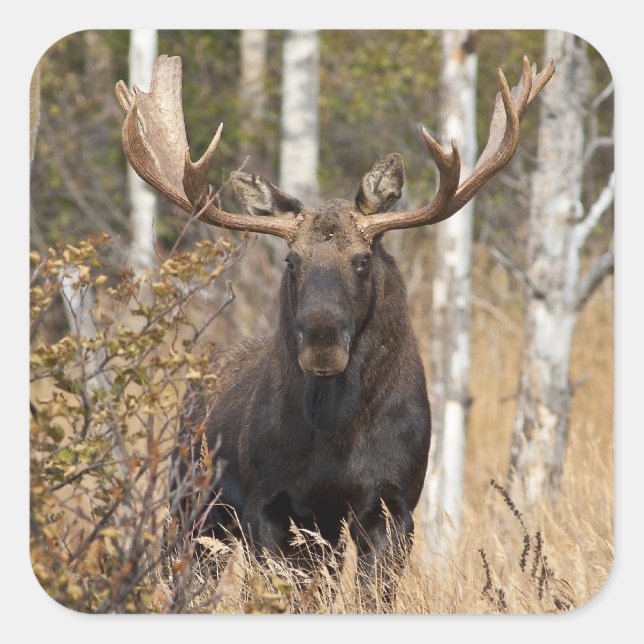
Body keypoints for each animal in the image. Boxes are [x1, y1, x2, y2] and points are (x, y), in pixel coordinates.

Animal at [115, 54, 554, 604]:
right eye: (292, 261)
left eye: (362, 260)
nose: (322, 343)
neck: (336, 439)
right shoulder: (270, 505)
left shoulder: (393, 503)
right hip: (191, 504)